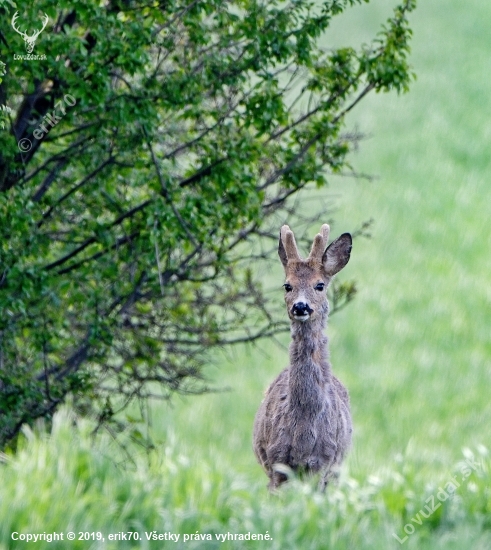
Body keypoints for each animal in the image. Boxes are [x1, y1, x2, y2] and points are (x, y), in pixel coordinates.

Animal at [254, 224, 354, 492]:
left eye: (319, 285)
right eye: (287, 285)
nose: (300, 306)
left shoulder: (322, 463)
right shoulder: (277, 463)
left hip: (336, 472)